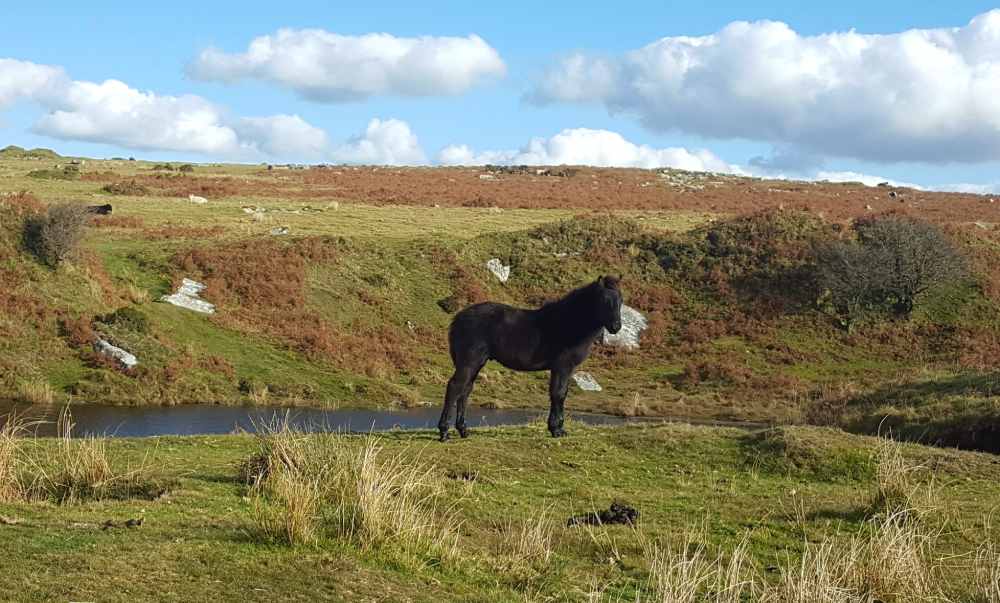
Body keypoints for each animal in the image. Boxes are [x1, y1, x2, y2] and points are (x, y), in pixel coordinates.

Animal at [438, 275, 623, 441]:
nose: (616, 327)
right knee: (455, 387)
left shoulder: (565, 369)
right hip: (469, 362)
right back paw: (444, 432)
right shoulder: (562, 366)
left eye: (620, 300)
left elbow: (561, 393)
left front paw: (557, 428)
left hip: (476, 364)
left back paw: (463, 430)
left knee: (465, 390)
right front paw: (556, 430)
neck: (568, 324)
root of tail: (458, 318)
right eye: (604, 300)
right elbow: (558, 394)